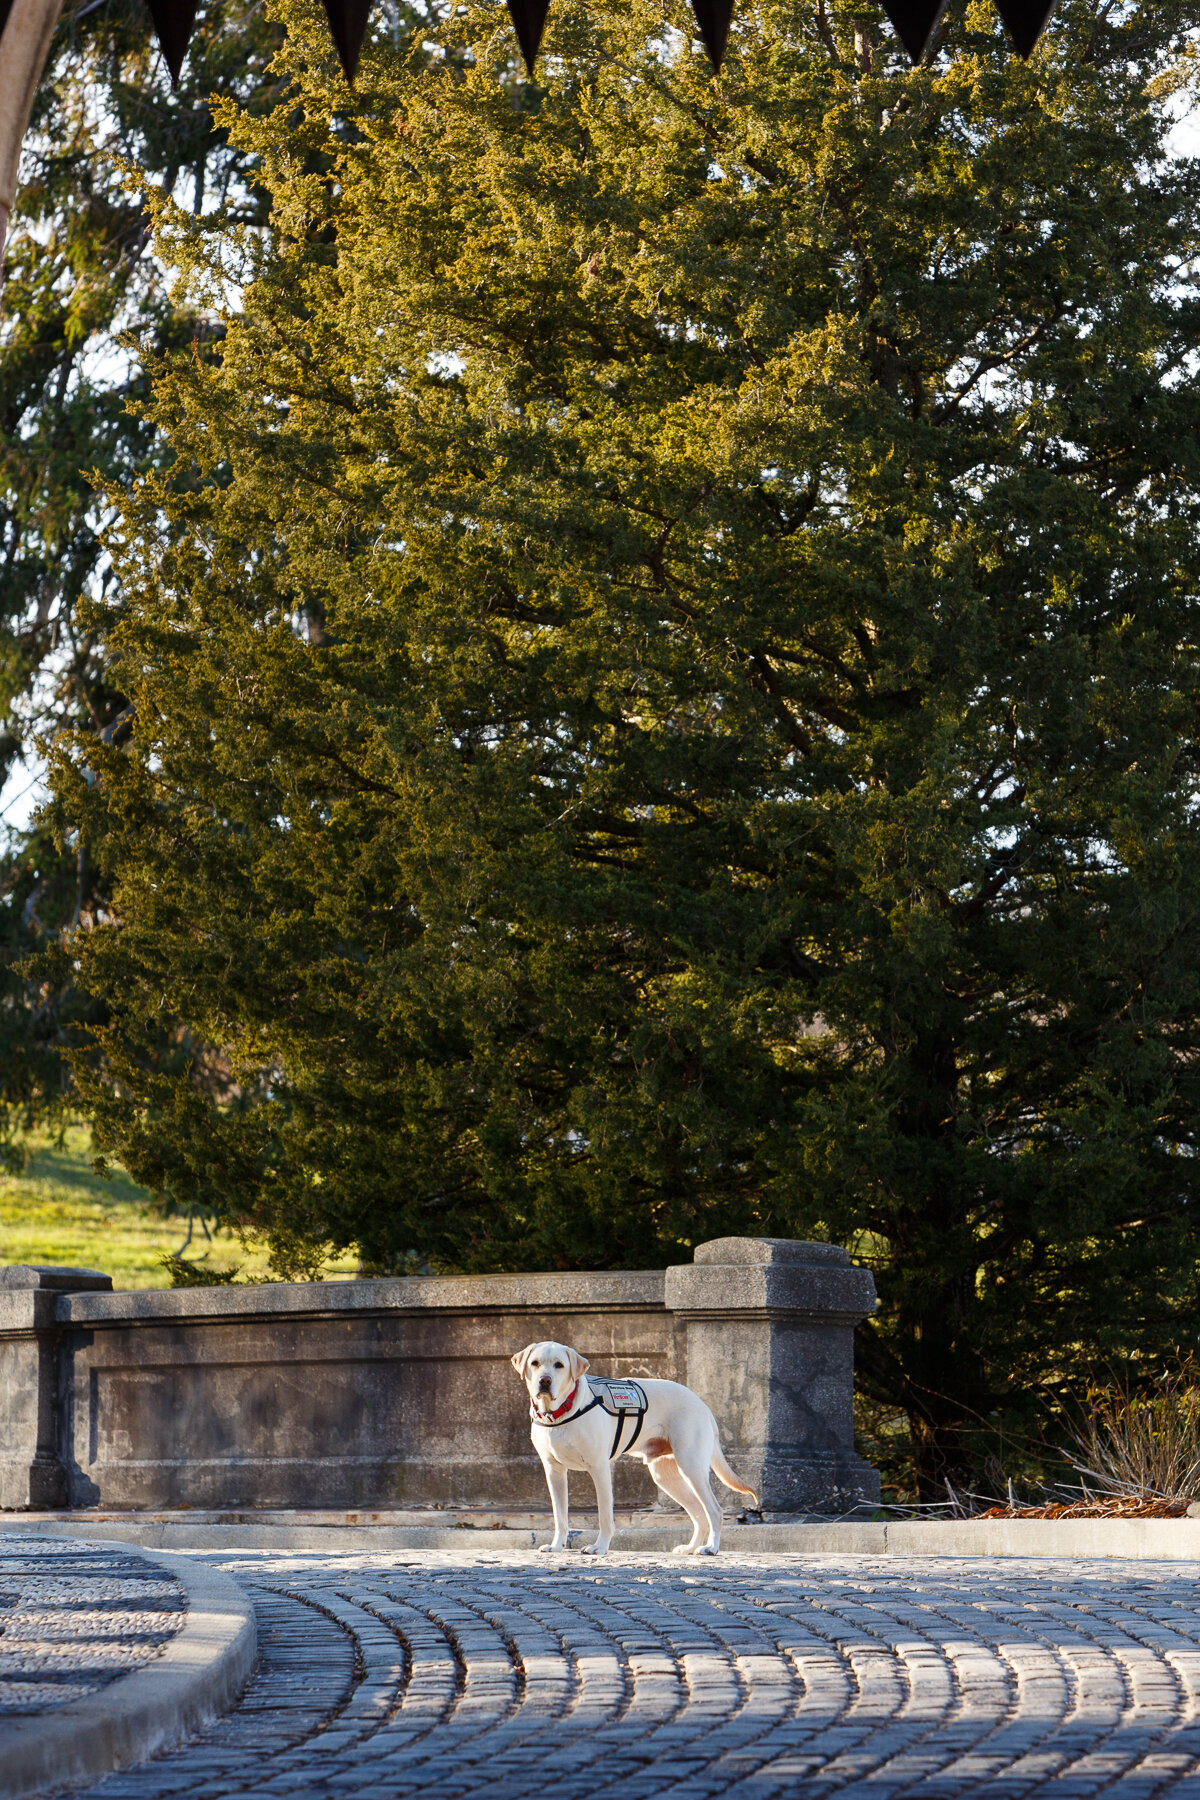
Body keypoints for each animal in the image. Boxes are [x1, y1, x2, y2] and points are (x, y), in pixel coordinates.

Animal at [510, 1346, 755, 1555]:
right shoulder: (554, 1471)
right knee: (699, 1514)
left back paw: (711, 1547)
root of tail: (703, 1405)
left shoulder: (599, 1468)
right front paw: (556, 1546)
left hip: (691, 1466)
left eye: (559, 1365)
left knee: (714, 1510)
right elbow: (560, 1516)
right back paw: (690, 1548)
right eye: (535, 1363)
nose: (544, 1380)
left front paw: (599, 1547)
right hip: (665, 1476)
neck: (560, 1412)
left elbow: (604, 1515)